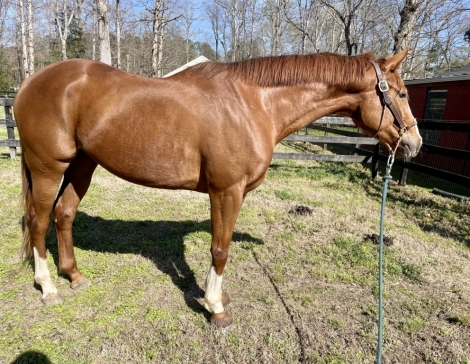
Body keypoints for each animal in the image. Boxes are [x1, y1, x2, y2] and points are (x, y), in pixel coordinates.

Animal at [14, 47, 420, 328]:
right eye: (401, 94)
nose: (414, 143)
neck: (252, 104)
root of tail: (28, 83)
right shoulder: (227, 191)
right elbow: (220, 249)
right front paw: (216, 309)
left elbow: (219, 248)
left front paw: (215, 294)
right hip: (48, 167)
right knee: (38, 221)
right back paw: (47, 287)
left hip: (83, 163)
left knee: (64, 214)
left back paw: (74, 276)